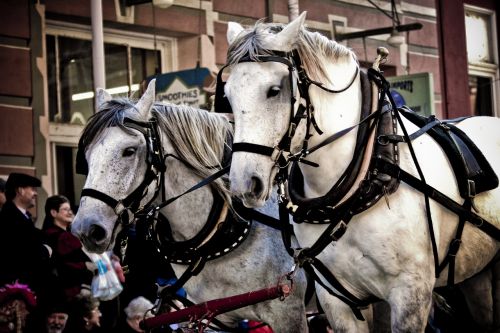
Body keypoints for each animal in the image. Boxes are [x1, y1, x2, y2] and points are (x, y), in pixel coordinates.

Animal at [224, 11, 500, 330]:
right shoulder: (337, 299)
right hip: (477, 273)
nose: (244, 184)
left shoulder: (411, 293)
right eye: (227, 96)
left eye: (274, 90)